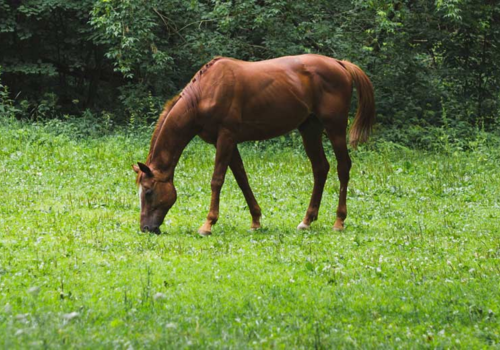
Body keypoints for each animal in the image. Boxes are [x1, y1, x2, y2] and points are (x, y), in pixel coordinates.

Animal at [133, 54, 376, 235]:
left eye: (148, 192)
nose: (146, 228)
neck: (204, 92)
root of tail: (340, 64)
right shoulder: (227, 143)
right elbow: (242, 179)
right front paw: (256, 220)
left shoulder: (226, 138)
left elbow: (217, 180)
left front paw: (208, 224)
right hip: (310, 129)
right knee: (320, 168)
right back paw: (307, 220)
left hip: (335, 128)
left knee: (343, 167)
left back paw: (339, 221)